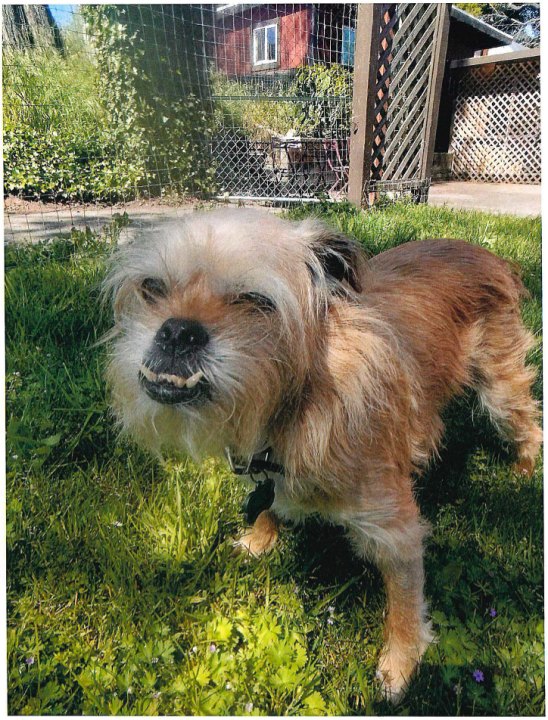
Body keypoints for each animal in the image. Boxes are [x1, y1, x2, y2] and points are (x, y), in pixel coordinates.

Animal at [103, 210, 540, 704]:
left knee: (529, 423)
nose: (178, 330)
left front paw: (400, 665)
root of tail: (485, 253)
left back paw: (525, 470)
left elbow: (404, 602)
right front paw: (259, 539)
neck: (295, 406)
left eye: (255, 301)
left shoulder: (396, 530)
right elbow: (269, 503)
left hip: (500, 389)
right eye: (152, 287)